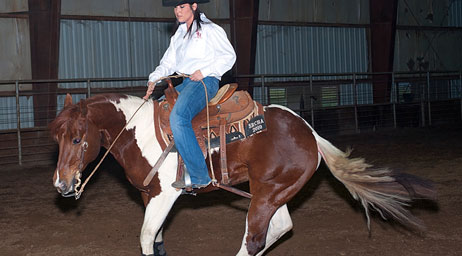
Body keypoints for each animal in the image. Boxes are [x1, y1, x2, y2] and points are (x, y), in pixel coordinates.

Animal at [50, 91, 436, 254]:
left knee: (254, 240)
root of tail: (310, 133)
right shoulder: (150, 196)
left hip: (266, 194)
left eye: (77, 138)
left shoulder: (165, 194)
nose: (61, 184)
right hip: (272, 192)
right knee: (279, 229)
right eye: (57, 138)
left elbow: (146, 237)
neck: (138, 130)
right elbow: (156, 239)